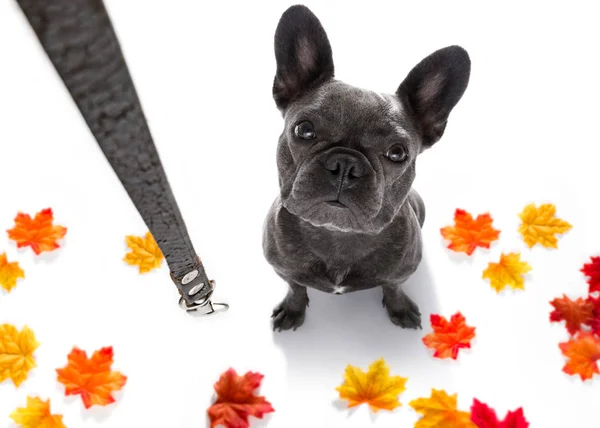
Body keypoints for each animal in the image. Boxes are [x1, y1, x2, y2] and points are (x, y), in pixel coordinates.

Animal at [262, 5, 468, 332]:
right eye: (304, 130)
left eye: (397, 153)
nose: (345, 163)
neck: (338, 235)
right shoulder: (283, 268)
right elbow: (295, 286)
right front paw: (293, 309)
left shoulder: (400, 273)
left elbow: (393, 287)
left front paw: (399, 308)